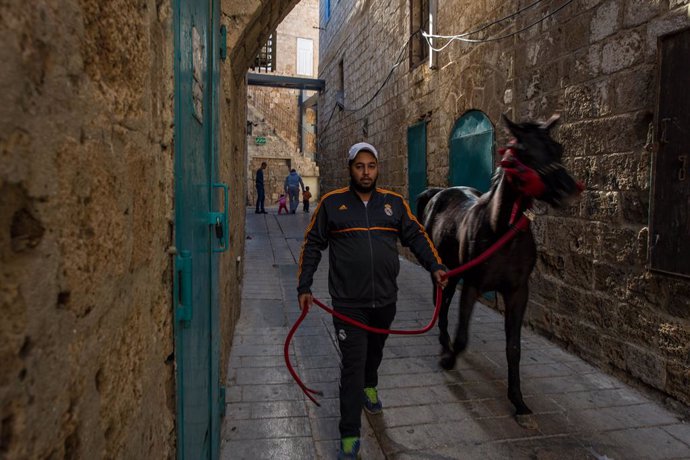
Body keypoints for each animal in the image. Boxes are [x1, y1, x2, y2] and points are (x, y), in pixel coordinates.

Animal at [416, 114, 576, 420]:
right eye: (524, 152)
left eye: (558, 148)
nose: (568, 188)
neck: (502, 232)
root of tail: (439, 192)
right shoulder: (472, 285)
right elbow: (462, 336)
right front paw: (449, 359)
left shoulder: (517, 292)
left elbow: (514, 348)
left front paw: (518, 400)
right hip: (447, 272)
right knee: (442, 305)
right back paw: (443, 341)